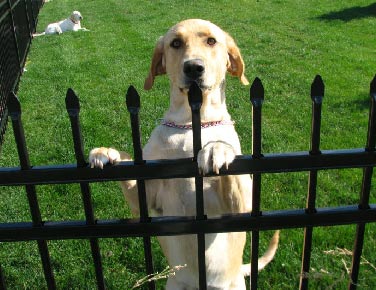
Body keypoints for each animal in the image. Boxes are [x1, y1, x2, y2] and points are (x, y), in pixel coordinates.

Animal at [89, 19, 280, 288]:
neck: (189, 126)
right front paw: (106, 152)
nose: (193, 68)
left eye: (211, 41)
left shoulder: (243, 207)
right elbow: (130, 167)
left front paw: (217, 148)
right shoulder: (146, 199)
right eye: (176, 43)